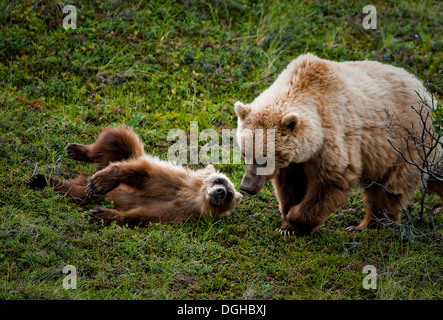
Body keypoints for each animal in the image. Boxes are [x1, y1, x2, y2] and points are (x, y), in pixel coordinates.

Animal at [27, 126, 243, 226]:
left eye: (230, 194)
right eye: (219, 180)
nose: (221, 191)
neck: (190, 195)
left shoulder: (181, 212)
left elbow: (143, 215)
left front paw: (100, 214)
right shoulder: (173, 181)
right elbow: (141, 174)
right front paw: (100, 182)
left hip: (86, 193)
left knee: (74, 191)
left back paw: (41, 180)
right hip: (124, 152)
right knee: (115, 138)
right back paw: (77, 151)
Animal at [234, 53, 442, 235]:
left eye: (266, 157)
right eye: (245, 153)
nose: (246, 187)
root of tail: (429, 96)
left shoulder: (332, 138)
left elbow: (332, 180)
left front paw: (294, 222)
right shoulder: (295, 161)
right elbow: (290, 185)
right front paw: (286, 223)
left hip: (406, 146)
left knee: (387, 191)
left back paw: (367, 226)